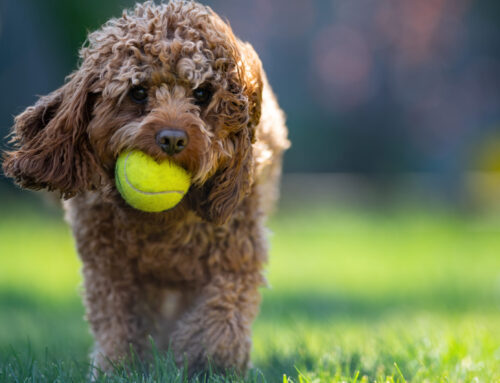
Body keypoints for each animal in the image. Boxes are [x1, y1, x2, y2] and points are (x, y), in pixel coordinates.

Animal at [1, 0, 290, 376]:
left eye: (202, 93)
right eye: (138, 92)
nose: (172, 139)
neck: (163, 224)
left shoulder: (234, 254)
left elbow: (221, 314)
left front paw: (209, 364)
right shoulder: (110, 267)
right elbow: (119, 323)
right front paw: (118, 368)